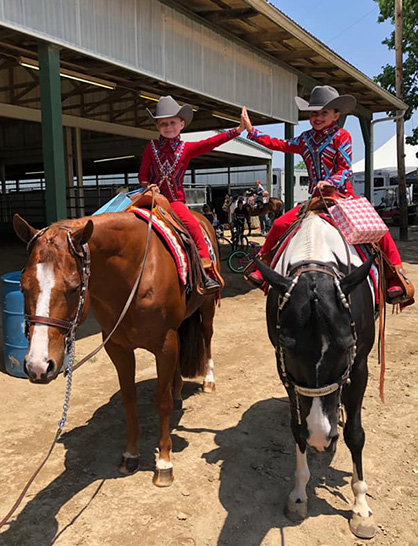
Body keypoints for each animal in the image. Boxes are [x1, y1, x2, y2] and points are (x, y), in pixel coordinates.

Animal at [13, 210, 219, 486]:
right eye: (22, 286)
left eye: (74, 287)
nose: (38, 366)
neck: (136, 274)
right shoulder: (118, 347)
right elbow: (129, 399)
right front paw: (130, 455)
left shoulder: (165, 343)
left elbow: (161, 400)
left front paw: (164, 462)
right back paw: (178, 393)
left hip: (206, 308)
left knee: (207, 339)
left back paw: (208, 381)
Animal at [258, 211, 378, 536]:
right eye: (288, 348)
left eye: (347, 345)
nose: (321, 437)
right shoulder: (285, 373)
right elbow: (297, 428)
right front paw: (299, 494)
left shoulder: (358, 366)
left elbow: (355, 434)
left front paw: (360, 507)